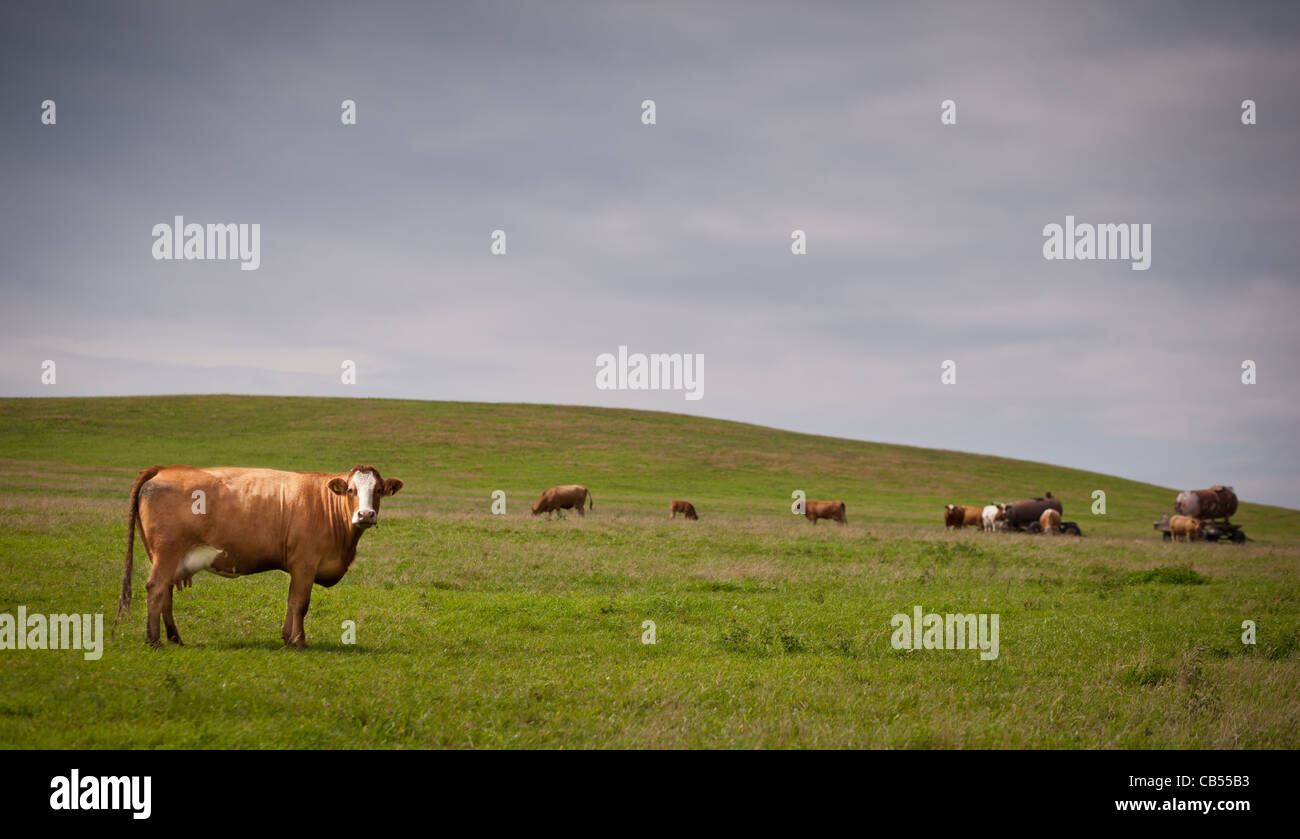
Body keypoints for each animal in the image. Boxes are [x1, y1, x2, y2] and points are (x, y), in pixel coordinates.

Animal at [116, 464, 403, 649]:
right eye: (351, 490)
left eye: (378, 490)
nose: (365, 514)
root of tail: (165, 468)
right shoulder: (305, 564)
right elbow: (301, 603)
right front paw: (300, 641)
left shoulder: (298, 566)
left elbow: (291, 601)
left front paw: (287, 638)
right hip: (167, 551)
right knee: (155, 589)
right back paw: (154, 641)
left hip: (167, 557)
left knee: (165, 592)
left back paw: (174, 638)